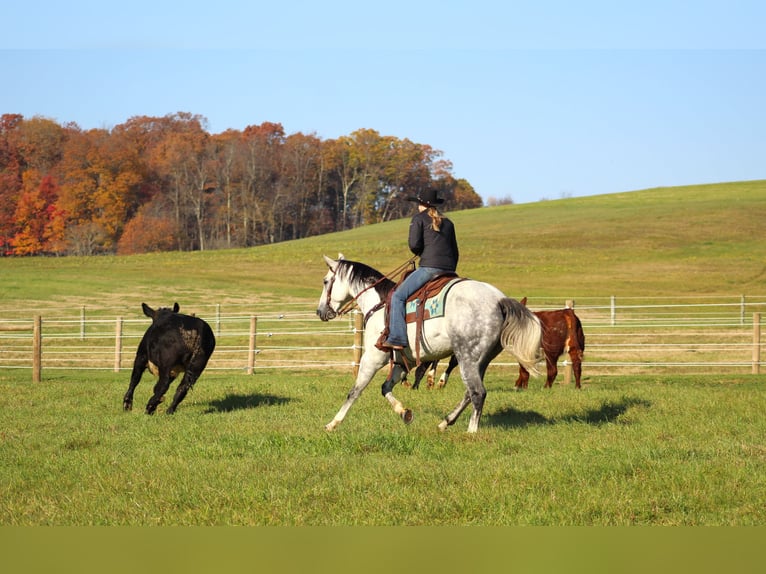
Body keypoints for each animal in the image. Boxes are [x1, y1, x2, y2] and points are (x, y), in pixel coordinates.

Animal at [316, 254, 544, 434]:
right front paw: (404, 413)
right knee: (469, 393)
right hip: (481, 361)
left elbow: (355, 391)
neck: (380, 304)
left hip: (466, 358)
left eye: (326, 281)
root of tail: (499, 300)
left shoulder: (373, 358)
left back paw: (471, 432)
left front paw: (333, 423)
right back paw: (445, 422)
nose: (320, 312)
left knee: (478, 393)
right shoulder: (402, 361)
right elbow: (385, 387)